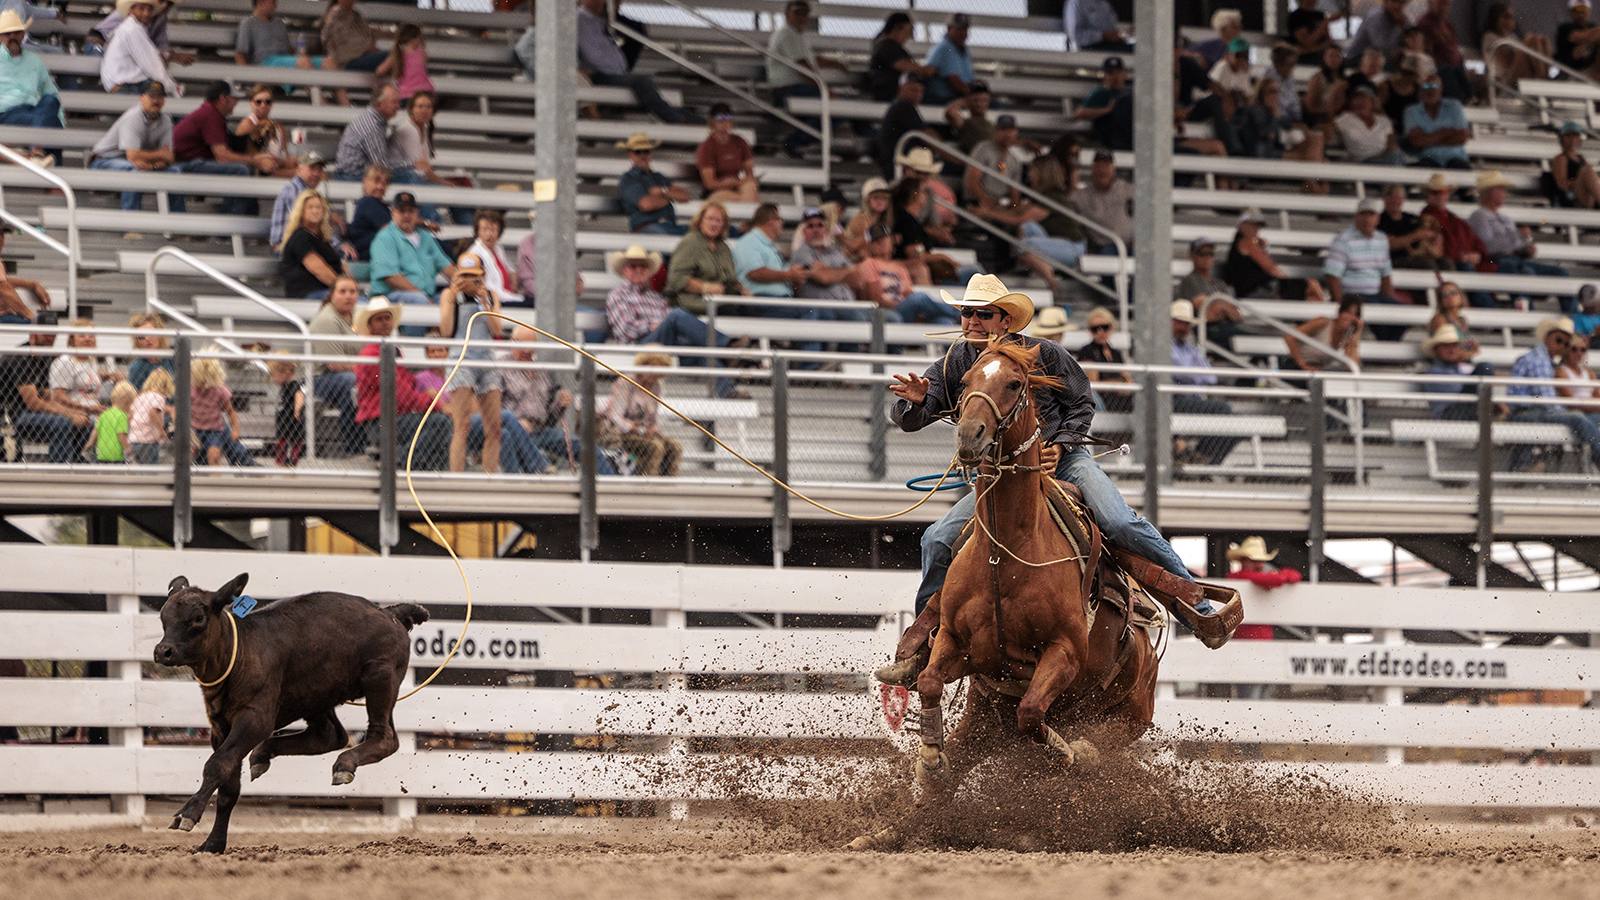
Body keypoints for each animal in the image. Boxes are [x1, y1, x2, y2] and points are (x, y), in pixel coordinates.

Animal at [857, 339, 1158, 845]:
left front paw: (1070, 753)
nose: (969, 435)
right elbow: (930, 681)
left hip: (1125, 719)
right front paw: (930, 757)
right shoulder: (956, 641)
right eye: (965, 381)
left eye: (1015, 383)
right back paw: (881, 834)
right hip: (984, 717)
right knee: (948, 781)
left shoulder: (1063, 653)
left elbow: (1034, 712)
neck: (1007, 553)